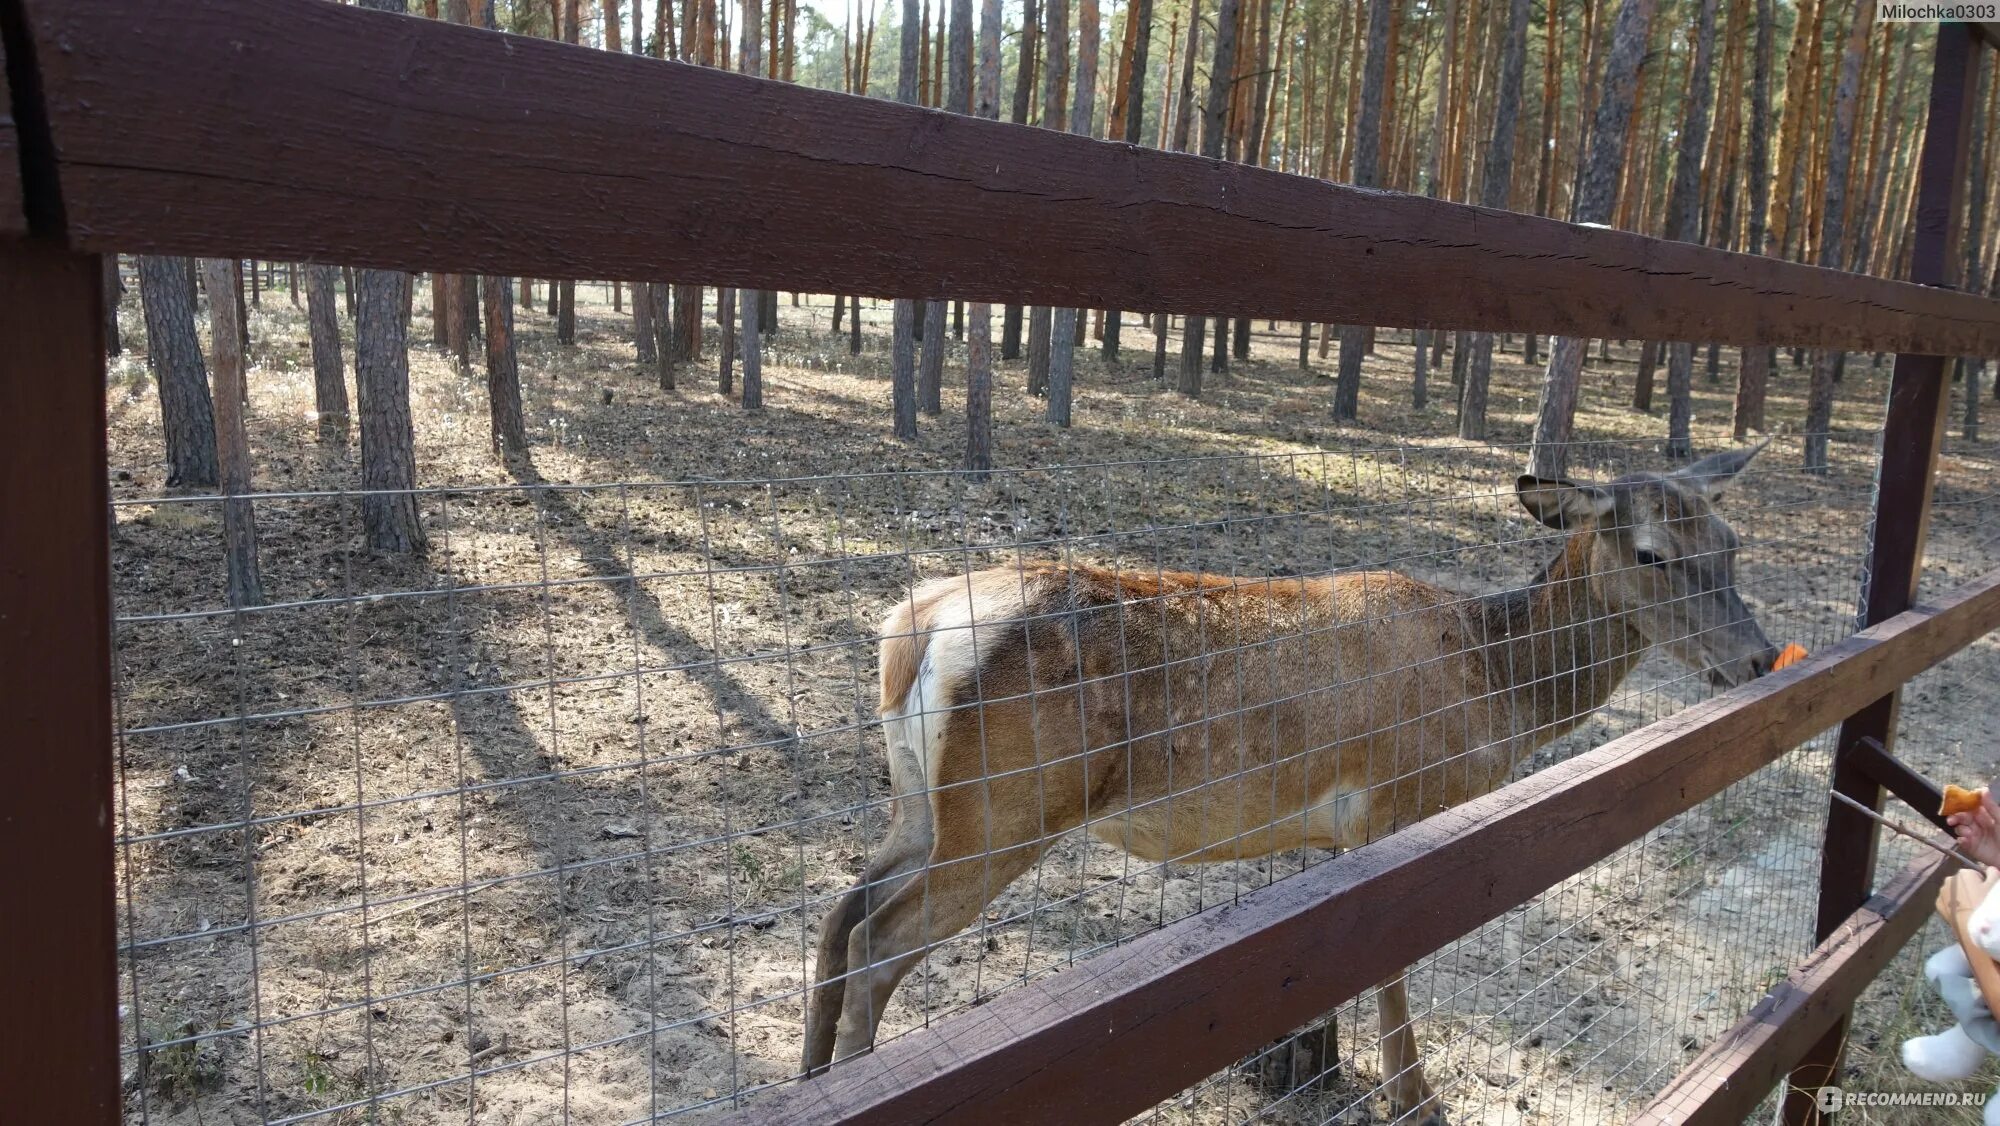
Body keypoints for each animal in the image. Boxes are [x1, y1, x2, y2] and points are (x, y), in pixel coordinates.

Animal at [804, 446, 1776, 1120]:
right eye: (1650, 553)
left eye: (1731, 542)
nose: (1760, 658)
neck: (1495, 690)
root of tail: (912, 624)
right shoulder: (1396, 802)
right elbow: (1393, 969)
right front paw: (1417, 1099)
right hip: (1006, 810)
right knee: (879, 939)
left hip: (922, 803)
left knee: (844, 907)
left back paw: (809, 1076)